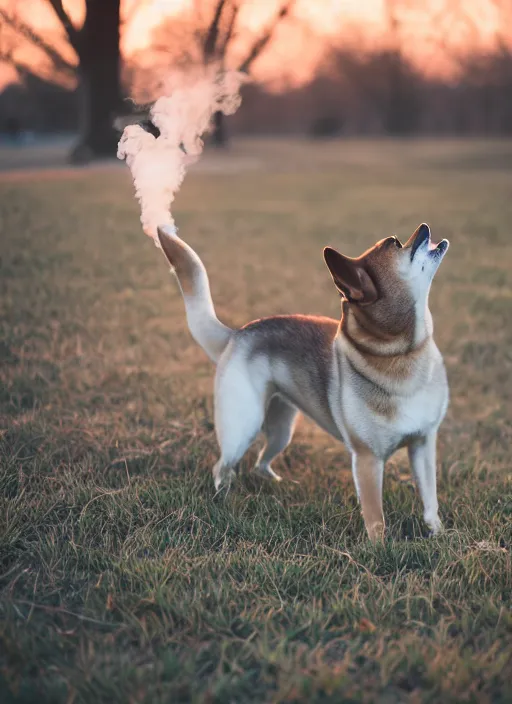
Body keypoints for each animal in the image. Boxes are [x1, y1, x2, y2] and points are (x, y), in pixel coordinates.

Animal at [156, 223, 448, 540]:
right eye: (395, 244)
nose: (424, 227)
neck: (402, 354)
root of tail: (237, 335)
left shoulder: (423, 444)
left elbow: (430, 498)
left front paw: (439, 533)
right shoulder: (368, 460)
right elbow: (376, 519)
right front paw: (380, 547)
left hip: (282, 430)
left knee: (261, 462)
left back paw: (275, 483)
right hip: (241, 430)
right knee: (222, 467)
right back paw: (223, 497)